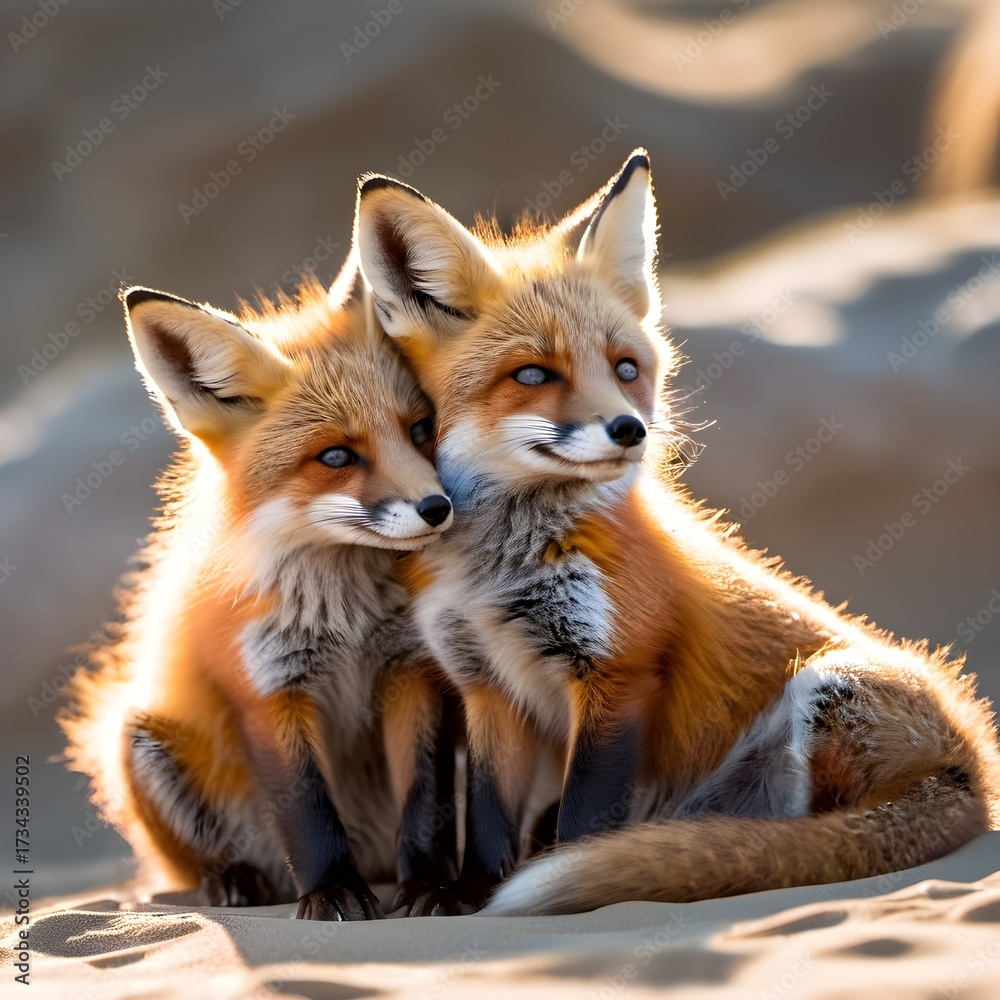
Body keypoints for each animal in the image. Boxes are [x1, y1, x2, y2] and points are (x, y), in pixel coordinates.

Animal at [59, 256, 463, 920]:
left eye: (421, 428)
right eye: (336, 456)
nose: (438, 508)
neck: (345, 615)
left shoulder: (412, 671)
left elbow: (426, 800)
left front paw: (431, 887)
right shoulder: (269, 691)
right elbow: (309, 813)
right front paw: (330, 893)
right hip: (141, 740)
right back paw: (233, 880)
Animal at [352, 150, 1000, 915]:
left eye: (625, 368)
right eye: (532, 373)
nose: (630, 429)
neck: (502, 566)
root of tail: (975, 767)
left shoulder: (618, 672)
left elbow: (583, 821)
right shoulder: (485, 684)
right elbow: (486, 816)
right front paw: (470, 896)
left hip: (829, 688)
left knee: (819, 840)